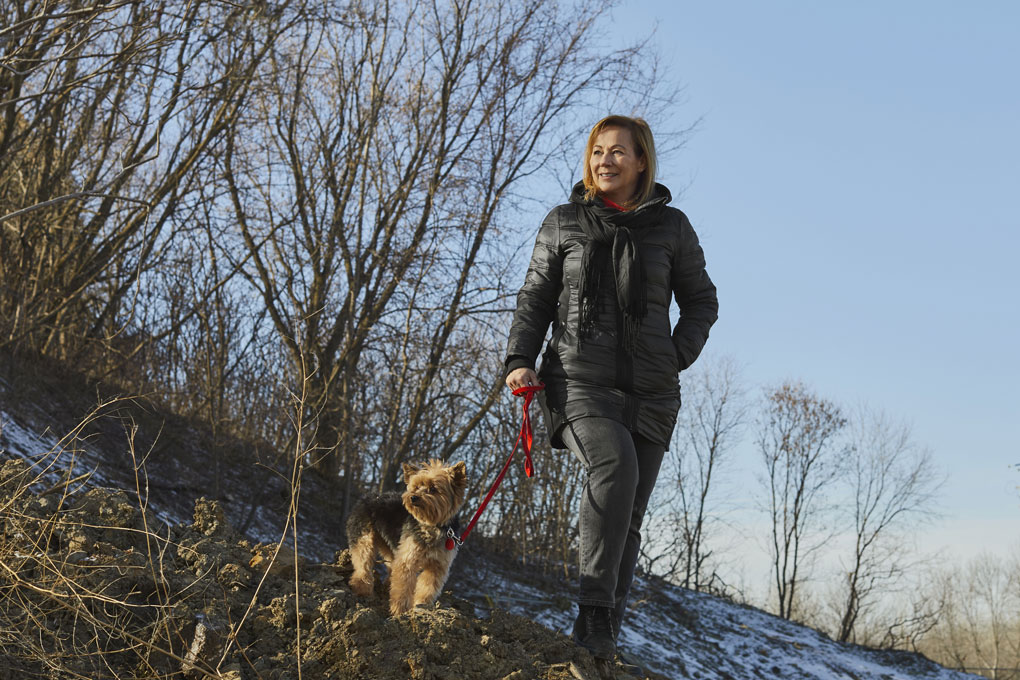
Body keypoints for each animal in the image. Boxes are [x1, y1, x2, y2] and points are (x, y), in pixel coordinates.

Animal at [344, 460, 467, 615]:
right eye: (416, 487)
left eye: (433, 489)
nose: (413, 497)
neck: (433, 526)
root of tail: (367, 497)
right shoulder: (408, 560)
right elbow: (403, 586)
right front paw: (400, 610)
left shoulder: (437, 567)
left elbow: (427, 588)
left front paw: (421, 605)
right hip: (364, 537)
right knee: (363, 562)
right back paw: (362, 588)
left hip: (390, 545)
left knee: (389, 564)